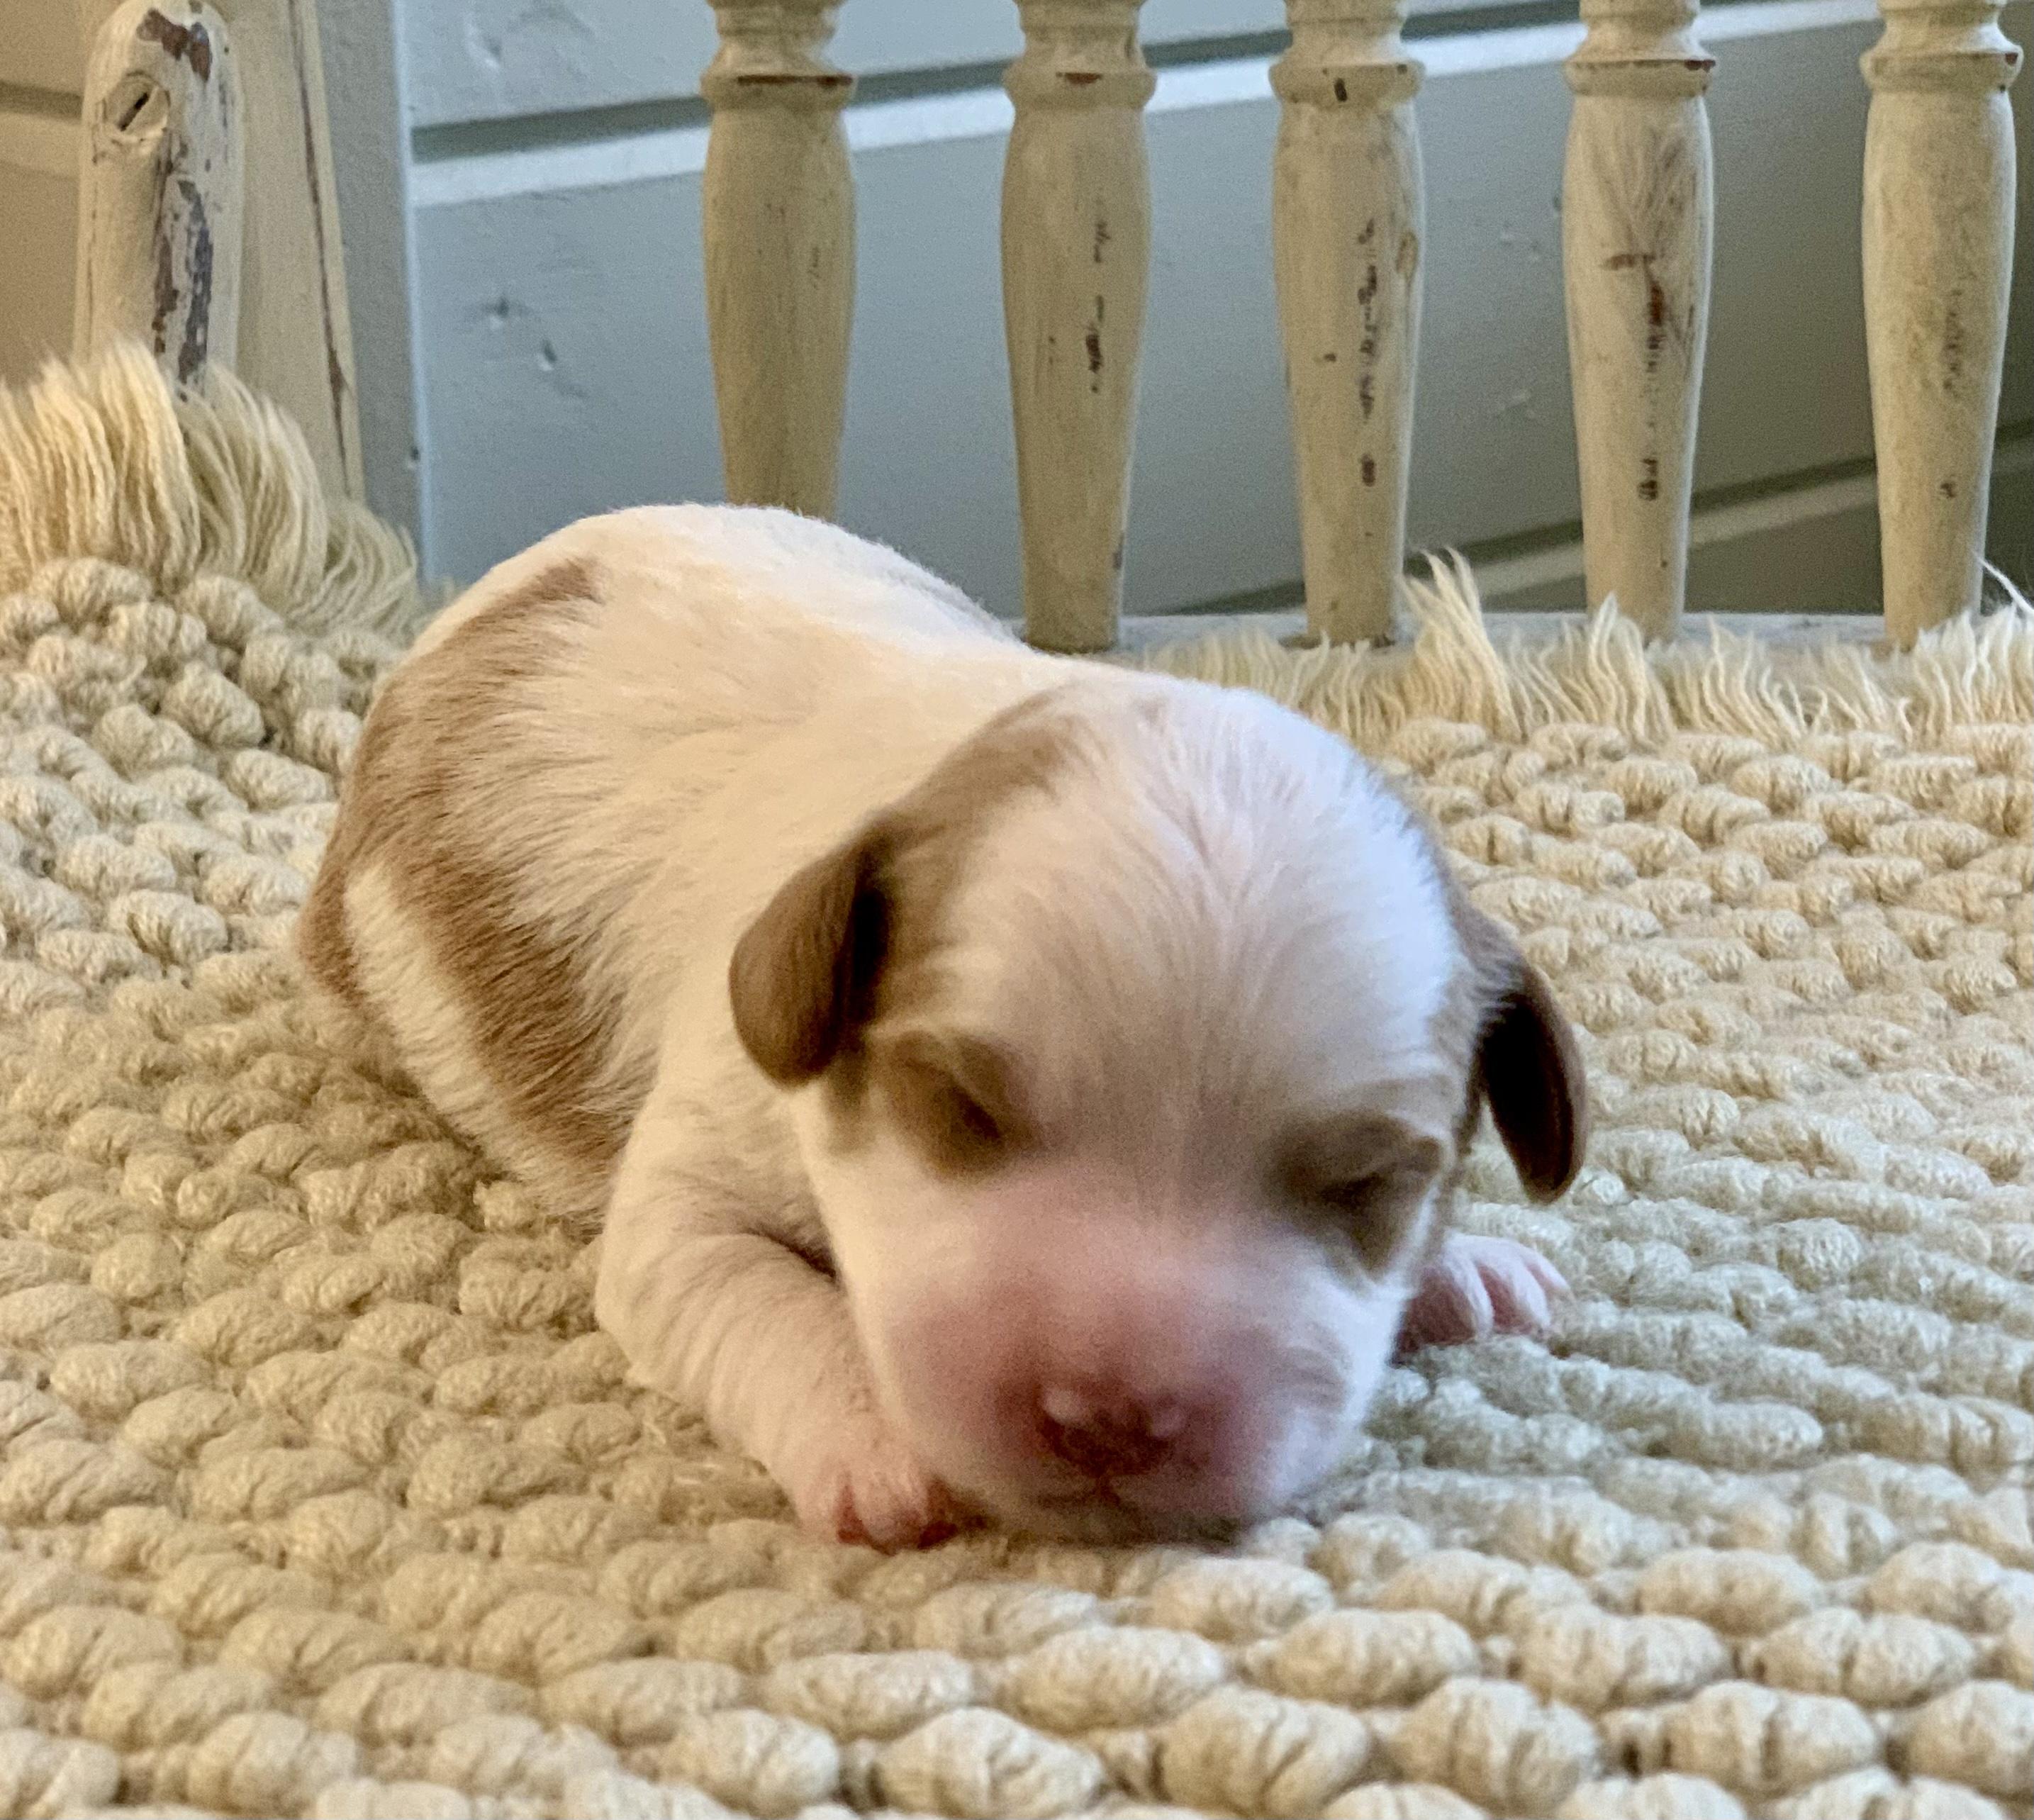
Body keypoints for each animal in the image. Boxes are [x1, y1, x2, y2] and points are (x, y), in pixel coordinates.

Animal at [299, 505, 1585, 1547]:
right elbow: (753, 1292)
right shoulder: (693, 1182)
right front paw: (878, 1449)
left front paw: (1461, 1266)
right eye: (959, 1103)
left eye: (1368, 1180)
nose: (1113, 1417)